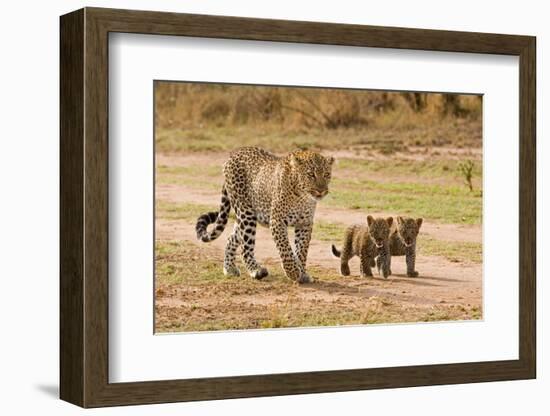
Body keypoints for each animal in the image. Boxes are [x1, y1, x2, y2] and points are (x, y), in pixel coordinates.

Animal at [196, 146, 334, 282]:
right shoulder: (277, 221)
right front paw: (293, 272)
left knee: (232, 238)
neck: (302, 197)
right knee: (245, 248)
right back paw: (256, 270)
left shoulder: (305, 223)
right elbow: (285, 249)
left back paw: (229, 268)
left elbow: (302, 250)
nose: (321, 191)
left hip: (245, 216)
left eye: (327, 174)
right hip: (246, 213)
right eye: (311, 175)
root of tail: (233, 154)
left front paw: (302, 272)